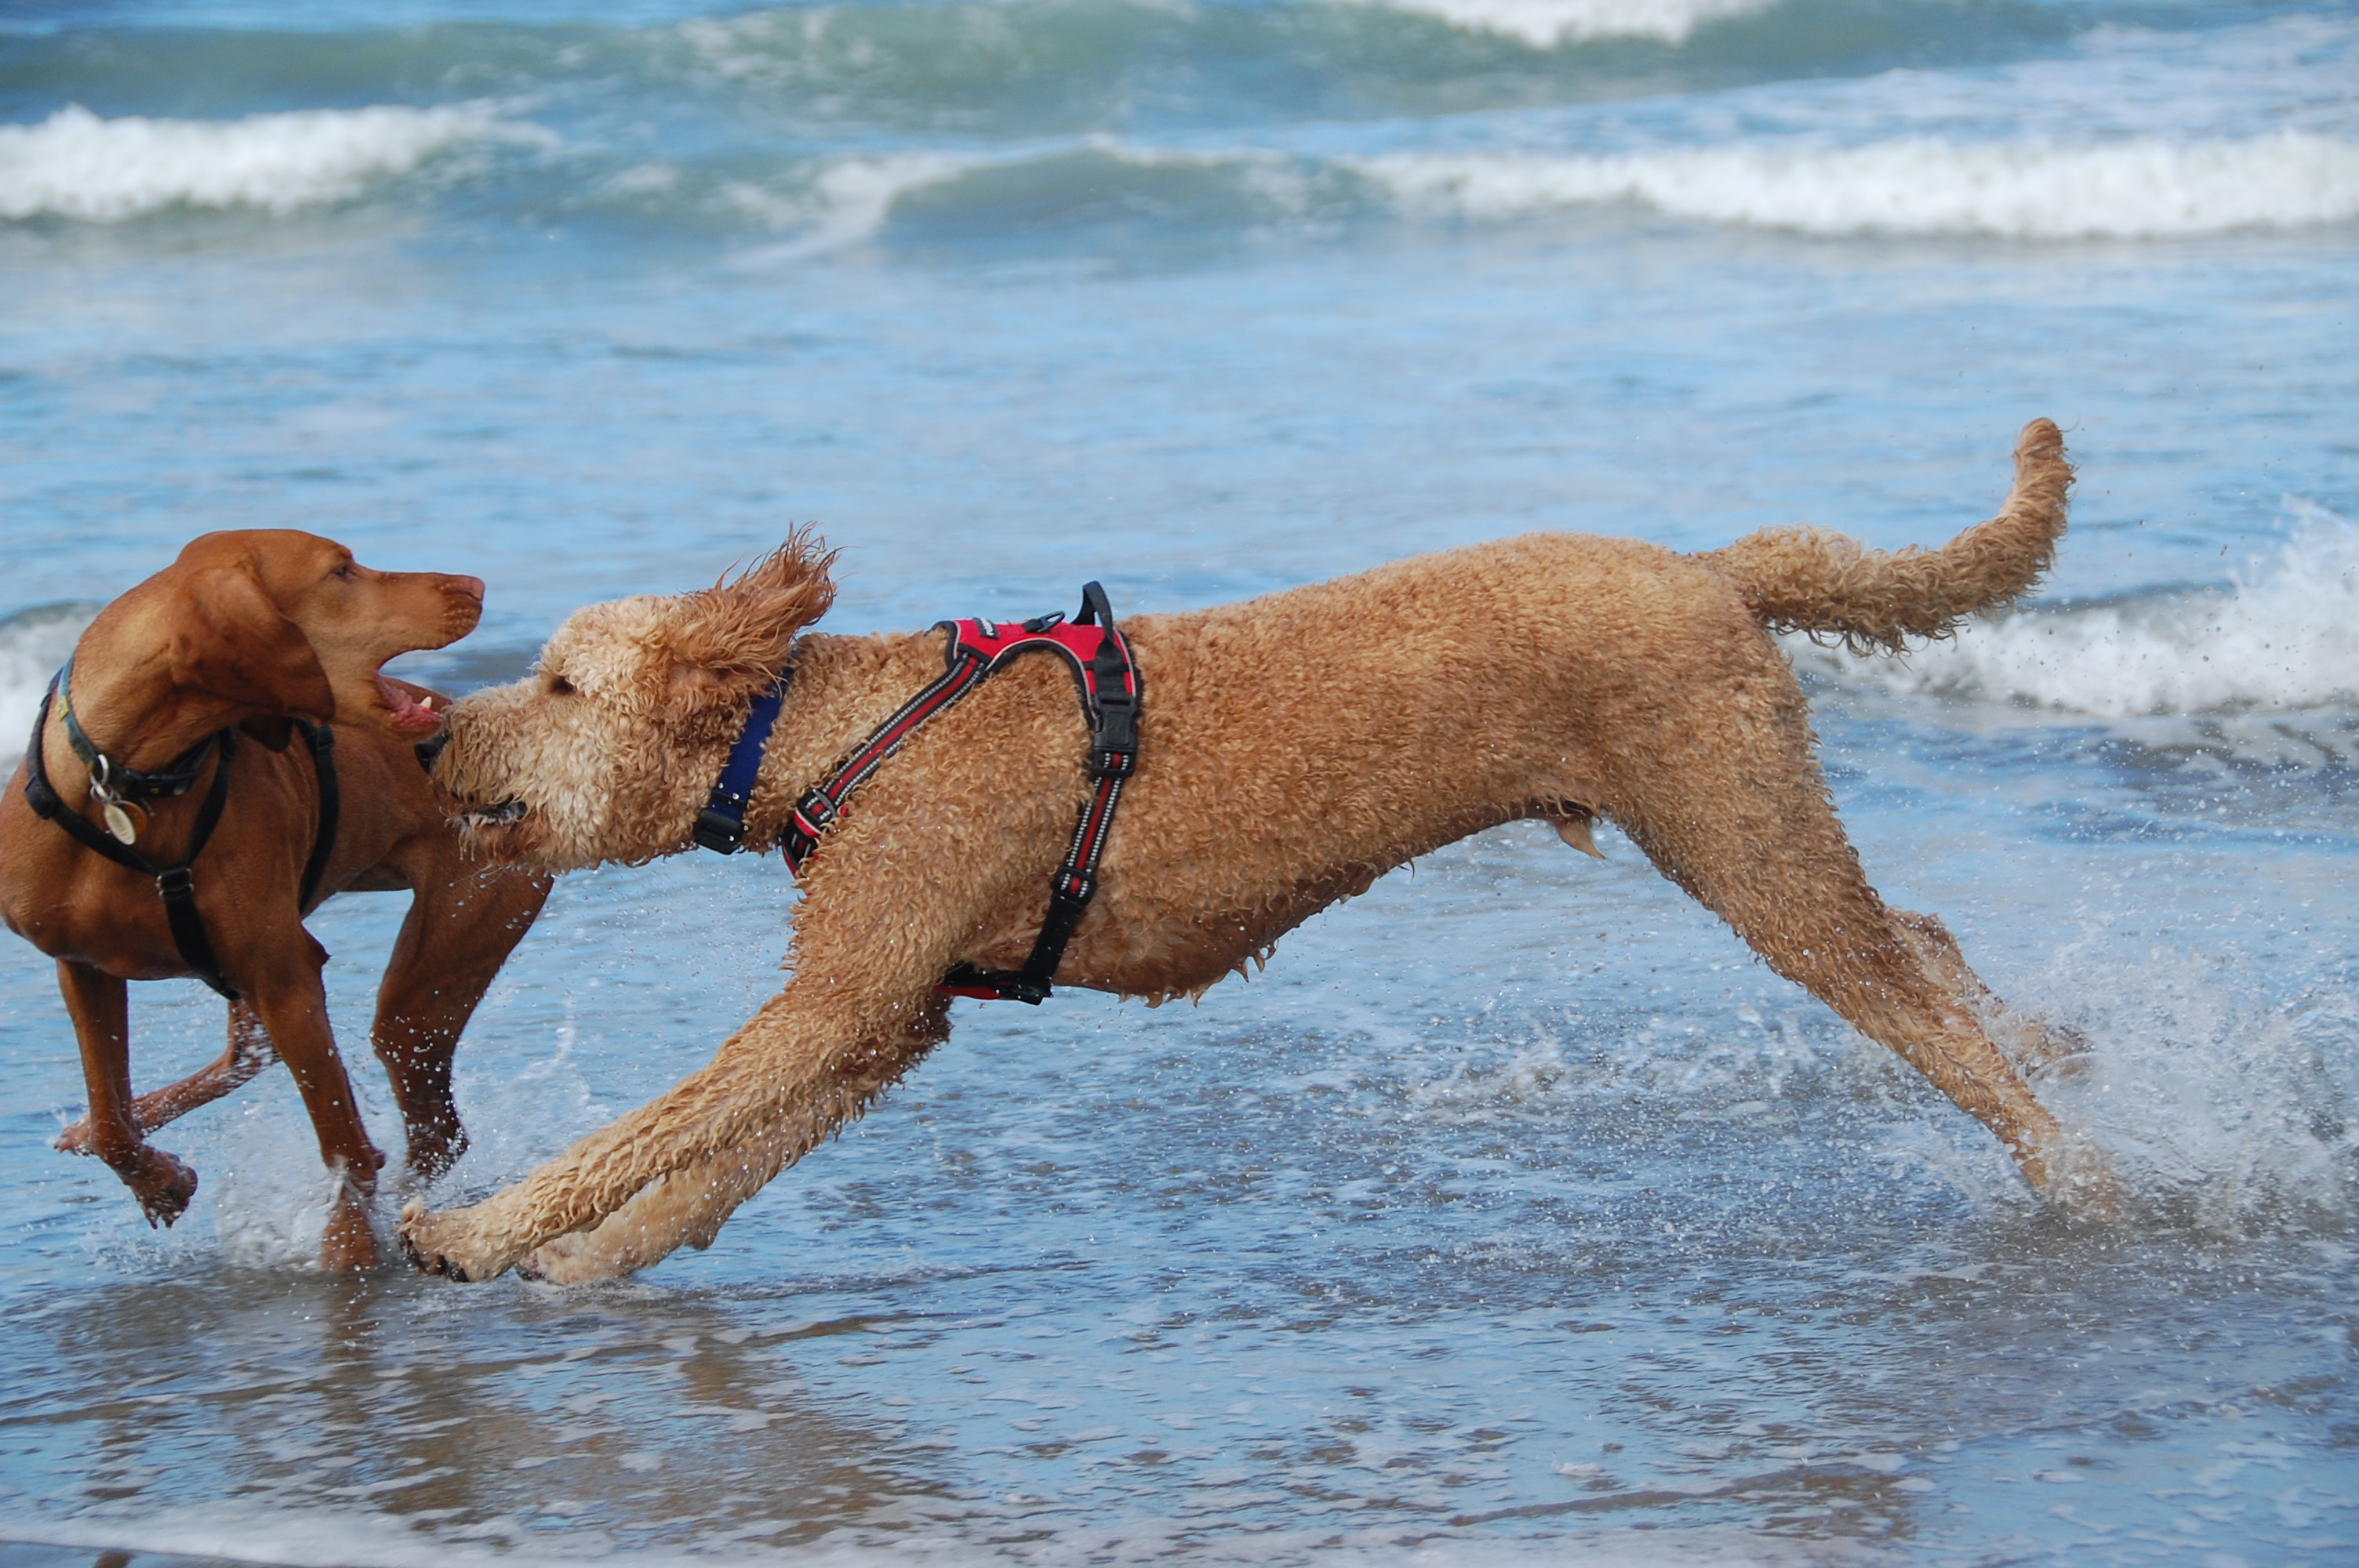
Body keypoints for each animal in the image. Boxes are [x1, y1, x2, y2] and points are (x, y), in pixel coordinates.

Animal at [0, 531, 551, 1271]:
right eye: (341, 572)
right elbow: (113, 1116)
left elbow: (344, 1142)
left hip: (439, 962)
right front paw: (159, 1181)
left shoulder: (286, 977)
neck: (130, 781)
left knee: (431, 1126)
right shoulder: (81, 965)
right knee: (247, 1056)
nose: (475, 584)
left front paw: (349, 1244)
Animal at [401, 420, 2091, 1284]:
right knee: (1925, 948)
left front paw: (477, 1228)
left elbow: (645, 1128)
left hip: (1732, 827)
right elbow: (712, 1163)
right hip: (1754, 822)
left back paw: (2072, 1164)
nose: (424, 737)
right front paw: (585, 1265)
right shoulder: (888, 1010)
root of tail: (1709, 568)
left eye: (559, 686)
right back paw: (2057, 1058)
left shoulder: (837, 995)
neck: (836, 730)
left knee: (1911, 997)